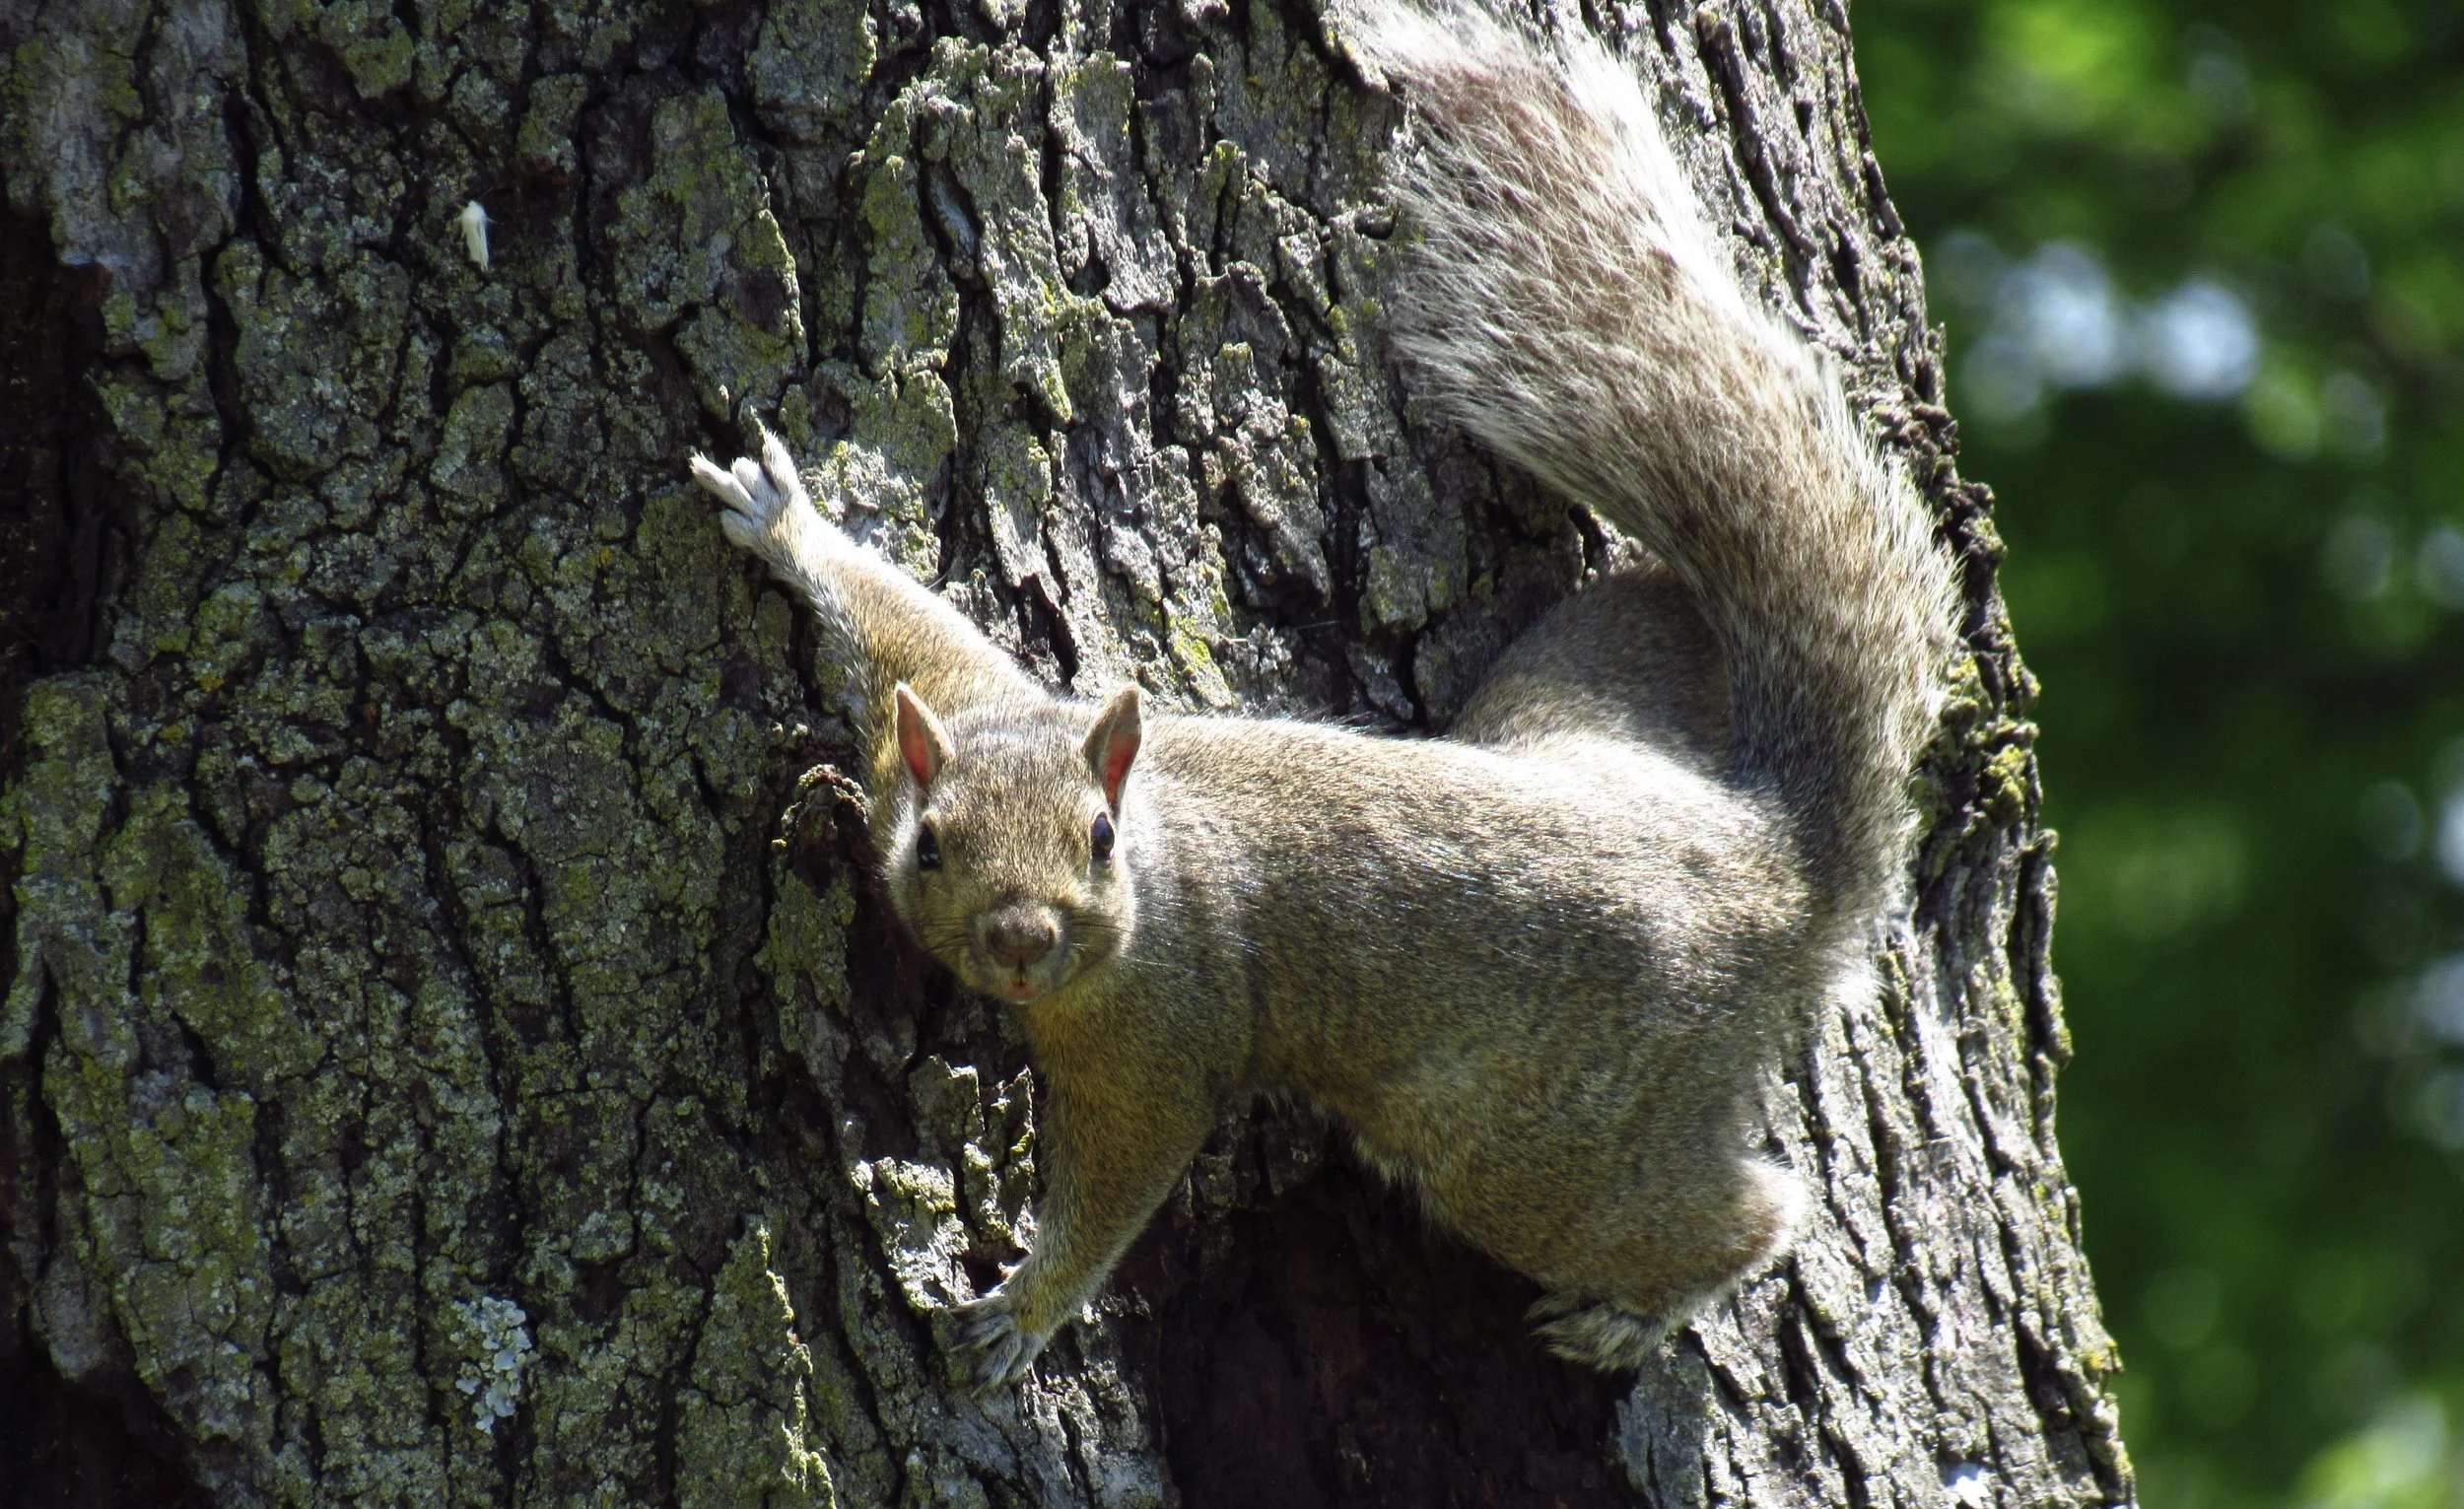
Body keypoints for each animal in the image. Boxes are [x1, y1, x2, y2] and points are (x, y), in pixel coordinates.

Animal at [690, 1, 1955, 1392]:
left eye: (1099, 837)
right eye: (932, 841)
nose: (1021, 940)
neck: (1156, 857)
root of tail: (1775, 864)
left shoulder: (1160, 1029)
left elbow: (1122, 1174)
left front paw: (1023, 1309)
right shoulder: (955, 705)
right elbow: (903, 618)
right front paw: (782, 519)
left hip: (1526, 1141)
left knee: (1745, 1212)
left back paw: (1642, 1307)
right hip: (1575, 685)